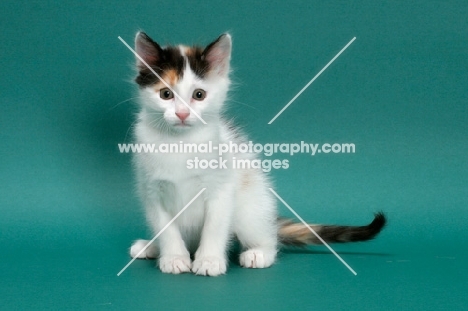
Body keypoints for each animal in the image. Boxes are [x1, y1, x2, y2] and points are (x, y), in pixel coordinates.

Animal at [126, 31, 386, 276]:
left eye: (199, 95)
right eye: (165, 94)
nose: (182, 114)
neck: (180, 142)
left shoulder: (222, 188)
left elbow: (214, 226)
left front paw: (209, 260)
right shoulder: (151, 190)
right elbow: (166, 228)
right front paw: (173, 257)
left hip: (250, 206)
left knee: (267, 238)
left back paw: (258, 253)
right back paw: (152, 246)